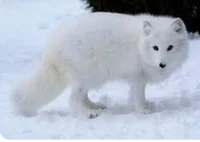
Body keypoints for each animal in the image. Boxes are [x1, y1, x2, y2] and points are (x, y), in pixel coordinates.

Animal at [13, 12, 188, 117]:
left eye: (170, 47)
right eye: (155, 48)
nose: (162, 64)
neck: (139, 44)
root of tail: (51, 46)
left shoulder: (136, 78)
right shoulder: (138, 77)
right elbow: (139, 96)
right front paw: (142, 110)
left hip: (93, 77)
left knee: (83, 96)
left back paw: (95, 106)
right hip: (87, 75)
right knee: (73, 99)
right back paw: (87, 114)